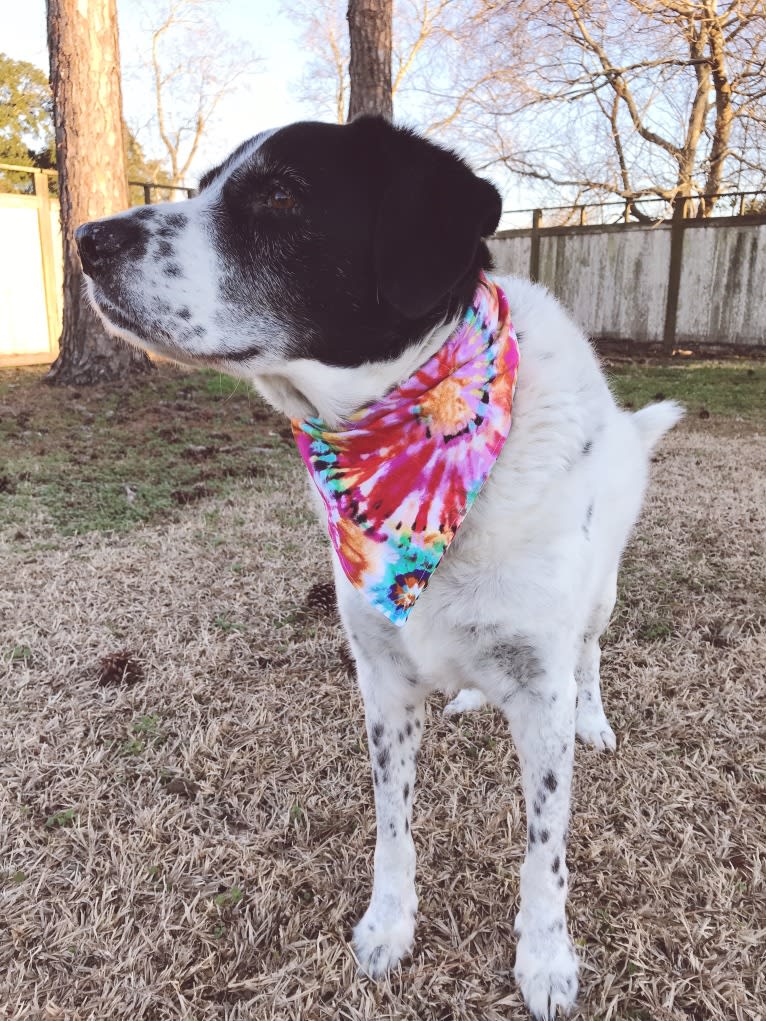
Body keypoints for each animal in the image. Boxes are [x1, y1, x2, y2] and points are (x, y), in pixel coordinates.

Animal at [76, 115, 682, 1016]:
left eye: (281, 196)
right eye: (205, 184)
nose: (86, 239)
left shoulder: (539, 693)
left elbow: (544, 852)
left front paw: (545, 958)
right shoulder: (383, 678)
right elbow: (392, 826)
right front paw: (388, 925)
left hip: (599, 597)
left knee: (592, 651)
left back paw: (595, 715)